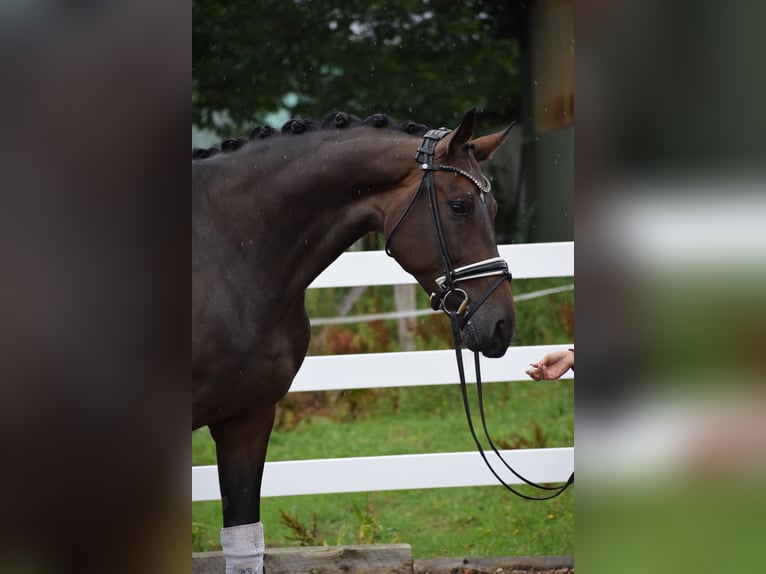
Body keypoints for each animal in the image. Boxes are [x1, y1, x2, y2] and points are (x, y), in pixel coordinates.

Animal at [192, 109, 516, 574]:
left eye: (493, 208)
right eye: (459, 206)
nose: (502, 324)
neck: (228, 253)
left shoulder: (247, 418)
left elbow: (243, 542)